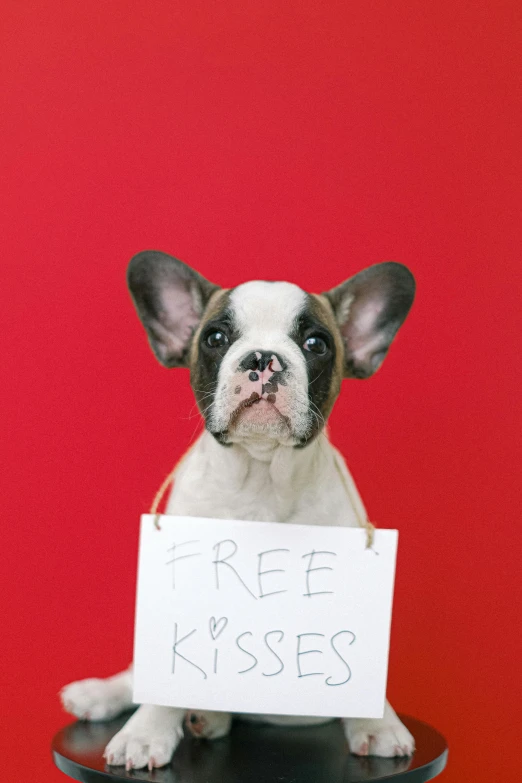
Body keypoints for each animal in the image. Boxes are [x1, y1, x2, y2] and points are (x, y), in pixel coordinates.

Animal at [61, 251, 416, 772]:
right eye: (215, 338)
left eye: (316, 343)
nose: (263, 358)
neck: (262, 479)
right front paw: (146, 732)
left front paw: (378, 723)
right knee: (133, 676)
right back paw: (101, 695)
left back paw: (207, 718)